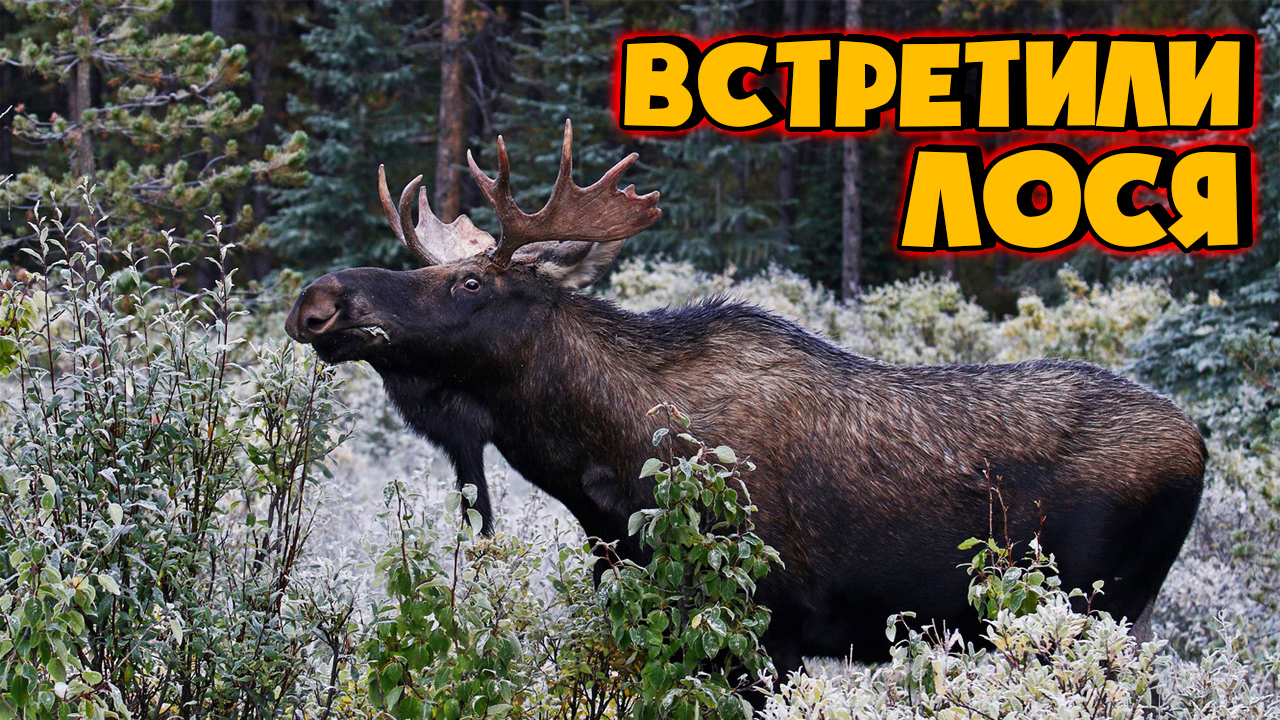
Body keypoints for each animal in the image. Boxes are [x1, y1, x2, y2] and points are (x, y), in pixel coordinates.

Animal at [286, 120, 1206, 686]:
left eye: (471, 282)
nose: (318, 301)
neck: (602, 467)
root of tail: (1200, 446)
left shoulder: (768, 628)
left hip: (1099, 611)